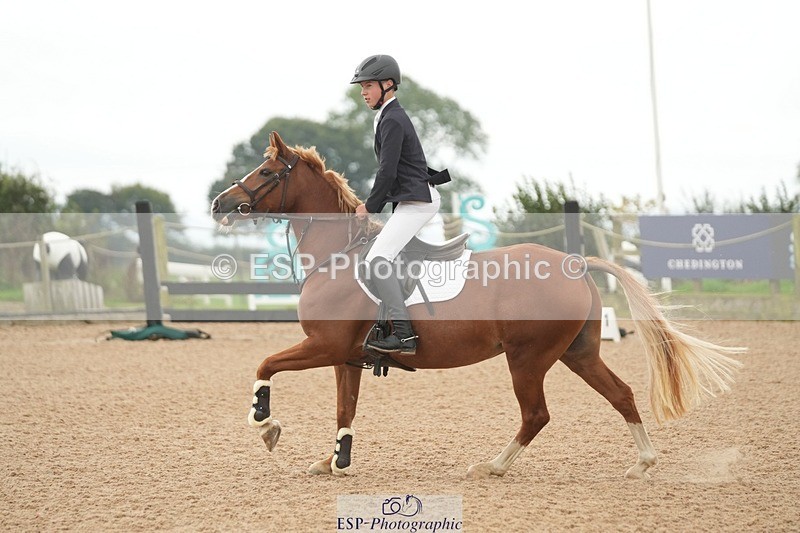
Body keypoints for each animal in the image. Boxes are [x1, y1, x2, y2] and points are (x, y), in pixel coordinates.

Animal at [211, 131, 744, 479]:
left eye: (265, 172)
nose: (219, 204)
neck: (338, 255)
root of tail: (575, 262)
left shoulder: (323, 345)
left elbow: (266, 365)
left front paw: (266, 423)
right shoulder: (345, 356)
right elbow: (346, 408)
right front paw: (334, 461)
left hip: (528, 358)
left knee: (536, 415)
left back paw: (492, 466)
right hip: (578, 353)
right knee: (621, 394)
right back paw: (643, 463)